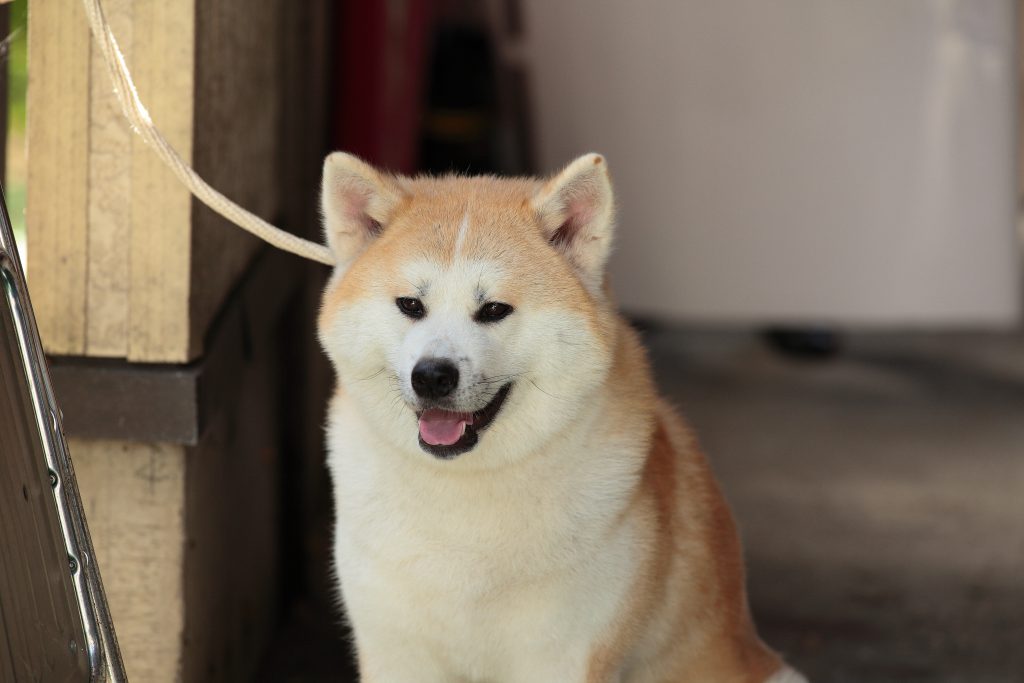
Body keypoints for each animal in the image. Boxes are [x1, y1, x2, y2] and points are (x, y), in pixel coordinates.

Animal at [315, 150, 802, 683]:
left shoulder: (565, 653)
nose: (432, 376)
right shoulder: (396, 650)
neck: (468, 489)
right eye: (410, 304)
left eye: (494, 310)